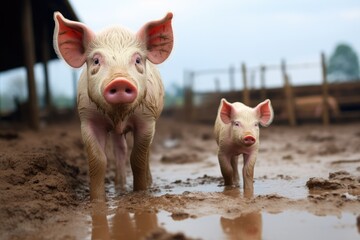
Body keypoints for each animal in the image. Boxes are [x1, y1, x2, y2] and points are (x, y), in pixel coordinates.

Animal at [53, 11, 174, 201]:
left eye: (138, 60)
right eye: (96, 61)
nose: (120, 80)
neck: (118, 115)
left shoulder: (147, 119)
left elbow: (138, 158)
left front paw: (141, 192)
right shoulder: (87, 119)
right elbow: (98, 159)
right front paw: (97, 200)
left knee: (146, 153)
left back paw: (148, 183)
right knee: (120, 149)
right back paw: (119, 186)